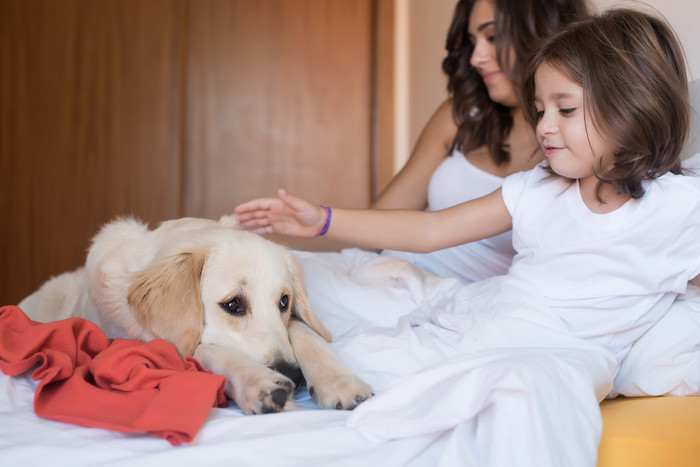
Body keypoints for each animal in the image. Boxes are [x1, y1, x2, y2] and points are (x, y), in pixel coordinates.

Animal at [19, 215, 374, 414]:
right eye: (233, 305)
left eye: (284, 302)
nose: (295, 376)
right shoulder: (155, 343)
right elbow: (208, 349)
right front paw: (258, 382)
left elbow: (304, 333)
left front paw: (337, 380)